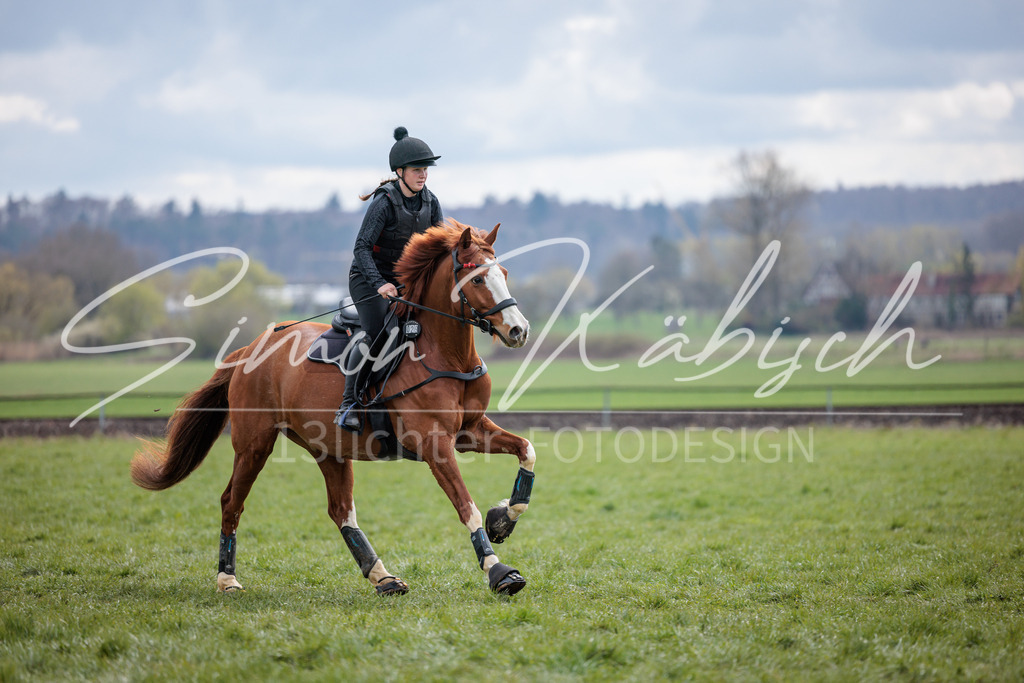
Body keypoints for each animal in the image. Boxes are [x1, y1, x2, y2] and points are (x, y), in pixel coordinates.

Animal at [131, 220, 536, 596]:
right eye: (478, 279)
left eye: (503, 274)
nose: (519, 330)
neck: (444, 354)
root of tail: (250, 348)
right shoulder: (434, 445)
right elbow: (465, 505)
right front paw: (500, 572)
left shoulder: (469, 432)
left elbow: (526, 451)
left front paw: (502, 519)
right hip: (254, 444)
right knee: (232, 501)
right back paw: (227, 579)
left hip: (329, 449)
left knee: (340, 511)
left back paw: (383, 577)